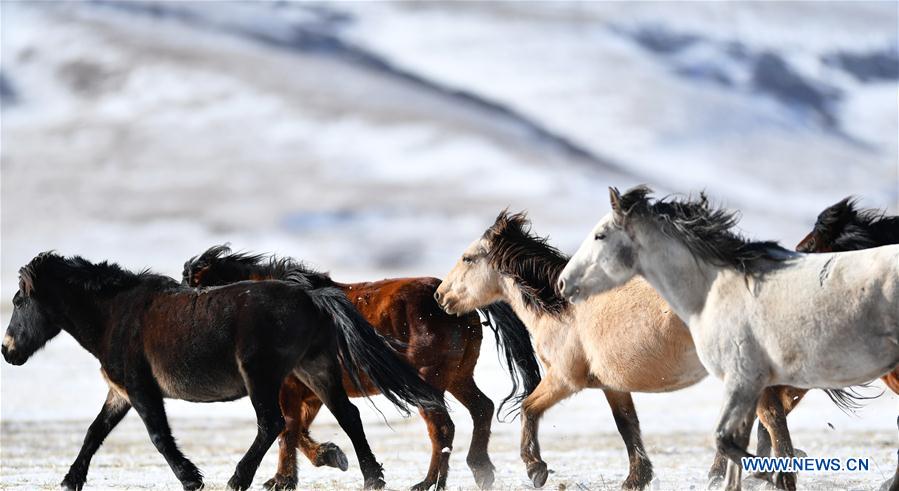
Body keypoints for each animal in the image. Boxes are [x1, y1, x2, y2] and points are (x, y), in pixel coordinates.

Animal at [2, 254, 446, 491]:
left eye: (19, 301)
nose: (7, 352)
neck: (116, 315)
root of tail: (310, 293)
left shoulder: (141, 389)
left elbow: (159, 437)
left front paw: (192, 478)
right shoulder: (120, 393)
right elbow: (94, 433)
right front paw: (70, 479)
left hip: (262, 374)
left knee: (272, 423)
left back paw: (238, 478)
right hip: (314, 368)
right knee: (348, 417)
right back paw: (372, 477)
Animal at [179, 246, 536, 491]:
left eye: (196, 286)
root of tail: (448, 302)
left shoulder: (290, 390)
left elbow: (287, 430)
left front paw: (286, 476)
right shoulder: (312, 394)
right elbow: (297, 431)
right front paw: (324, 458)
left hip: (430, 382)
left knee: (443, 428)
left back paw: (429, 483)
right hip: (458, 378)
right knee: (481, 409)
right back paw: (480, 469)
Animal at [560, 185, 896, 491]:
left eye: (600, 235)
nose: (564, 283)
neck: (713, 290)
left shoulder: (744, 378)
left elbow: (729, 437)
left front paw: (774, 474)